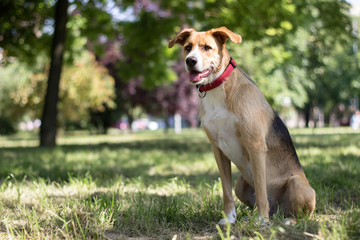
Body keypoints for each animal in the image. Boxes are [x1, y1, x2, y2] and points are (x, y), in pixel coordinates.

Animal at [169, 27, 316, 224]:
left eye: (207, 47)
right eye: (187, 47)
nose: (190, 61)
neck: (218, 87)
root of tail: (277, 209)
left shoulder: (256, 146)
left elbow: (261, 191)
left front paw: (262, 221)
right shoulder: (218, 149)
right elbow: (226, 192)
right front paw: (230, 219)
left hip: (297, 183)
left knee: (300, 214)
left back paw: (284, 220)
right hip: (240, 184)